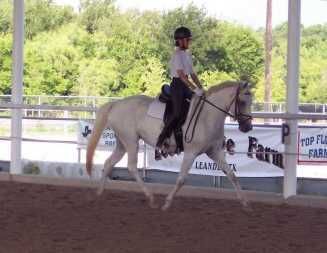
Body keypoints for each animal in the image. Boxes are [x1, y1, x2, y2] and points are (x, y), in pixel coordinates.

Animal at [86, 80, 252, 210]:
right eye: (242, 102)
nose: (247, 127)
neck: (207, 116)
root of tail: (116, 104)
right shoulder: (191, 153)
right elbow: (181, 180)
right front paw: (167, 203)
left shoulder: (215, 152)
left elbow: (231, 175)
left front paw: (245, 203)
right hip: (131, 141)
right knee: (132, 167)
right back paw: (150, 198)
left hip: (122, 143)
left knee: (108, 163)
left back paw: (98, 196)